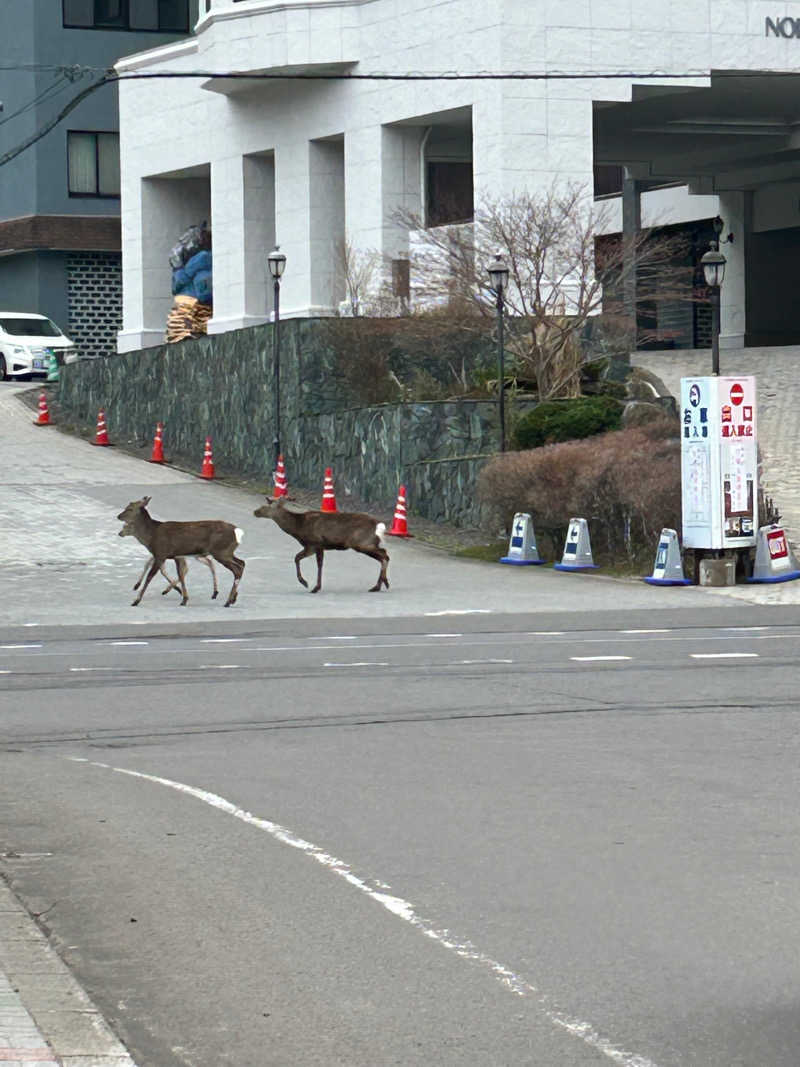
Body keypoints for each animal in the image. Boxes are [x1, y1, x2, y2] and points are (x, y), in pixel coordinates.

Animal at [250, 497, 388, 593]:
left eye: (268, 505)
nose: (255, 511)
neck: (298, 528)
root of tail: (378, 525)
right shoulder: (314, 546)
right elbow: (304, 559)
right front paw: (312, 585)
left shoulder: (314, 543)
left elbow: (306, 561)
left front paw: (309, 584)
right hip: (365, 543)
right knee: (384, 555)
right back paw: (382, 583)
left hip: (361, 542)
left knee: (385, 555)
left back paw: (380, 584)